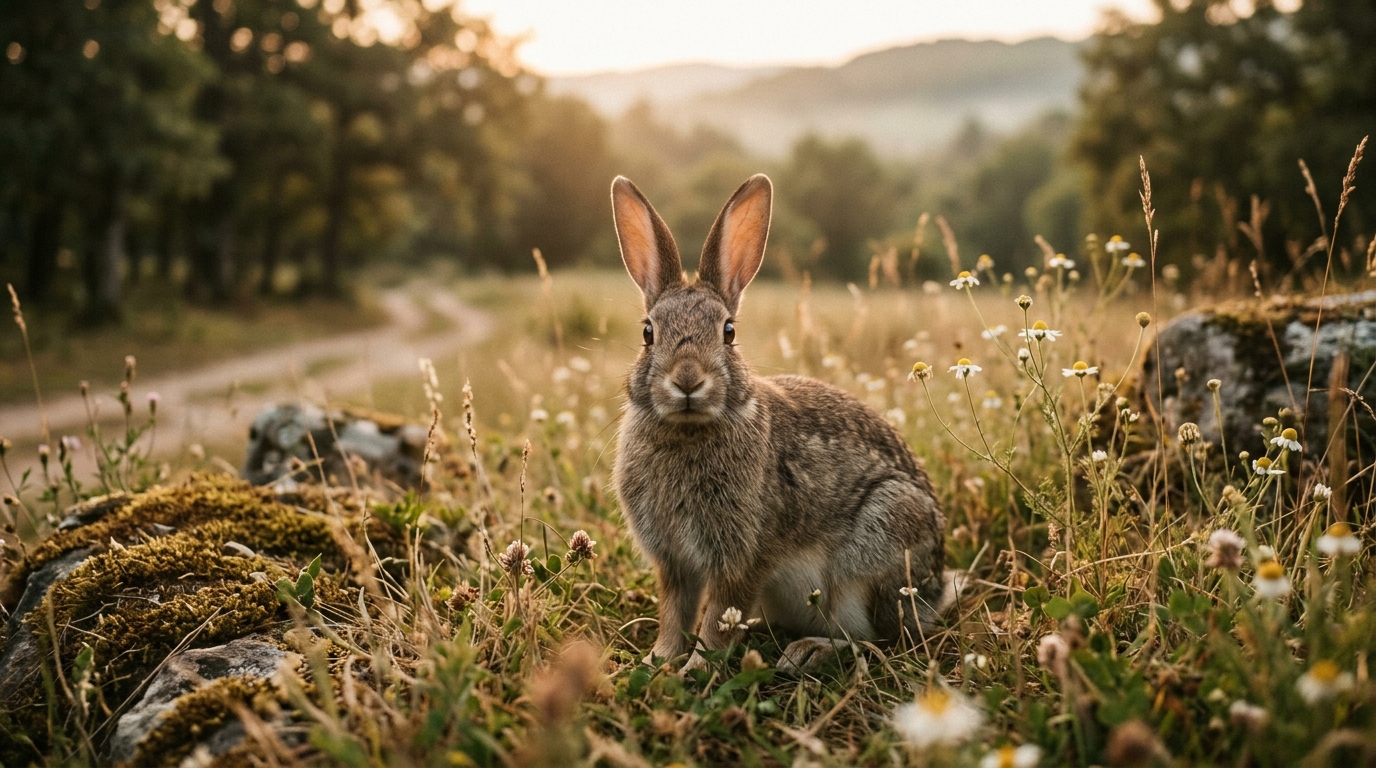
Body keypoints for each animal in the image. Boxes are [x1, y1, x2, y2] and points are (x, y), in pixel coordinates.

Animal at [610, 173, 948, 674]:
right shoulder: (674, 563)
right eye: (648, 332)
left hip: (875, 550)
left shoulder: (743, 557)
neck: (689, 429)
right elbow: (675, 614)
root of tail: (936, 589)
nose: (687, 380)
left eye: (729, 332)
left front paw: (696, 670)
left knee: (881, 640)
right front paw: (658, 661)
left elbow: (717, 620)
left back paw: (808, 651)